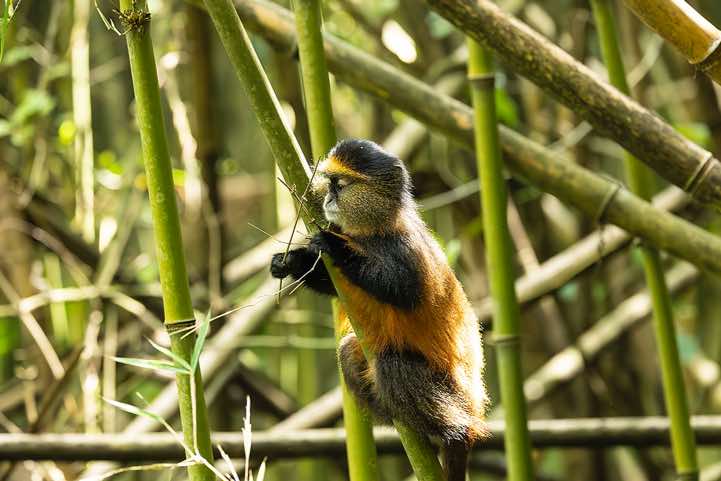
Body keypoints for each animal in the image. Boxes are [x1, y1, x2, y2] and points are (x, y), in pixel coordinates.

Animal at [270, 139, 487, 481]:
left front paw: (333, 246)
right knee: (348, 350)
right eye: (329, 182)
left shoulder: (406, 251)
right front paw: (289, 261)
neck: (375, 229)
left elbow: (399, 289)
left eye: (340, 184)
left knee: (391, 364)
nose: (328, 197)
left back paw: (454, 432)